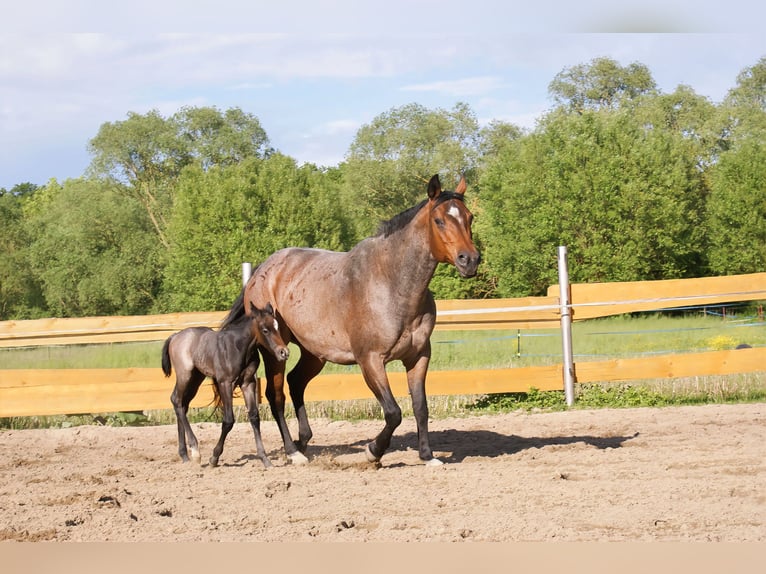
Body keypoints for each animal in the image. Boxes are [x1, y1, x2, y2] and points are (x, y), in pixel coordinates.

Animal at [161, 302, 290, 468]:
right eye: (265, 330)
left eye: (277, 326)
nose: (284, 352)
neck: (239, 347)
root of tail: (175, 336)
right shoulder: (225, 383)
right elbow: (228, 420)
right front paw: (214, 458)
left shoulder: (248, 383)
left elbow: (254, 416)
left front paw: (265, 459)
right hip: (185, 375)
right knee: (176, 400)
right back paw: (195, 451)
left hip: (196, 378)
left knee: (182, 405)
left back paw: (184, 454)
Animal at [221, 174, 480, 466]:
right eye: (439, 220)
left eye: (469, 217)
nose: (470, 260)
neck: (392, 284)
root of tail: (261, 271)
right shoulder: (370, 360)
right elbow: (393, 412)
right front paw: (373, 452)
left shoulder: (419, 356)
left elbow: (420, 406)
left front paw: (427, 456)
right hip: (275, 350)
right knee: (276, 395)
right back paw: (293, 451)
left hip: (315, 353)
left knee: (296, 382)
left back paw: (303, 441)